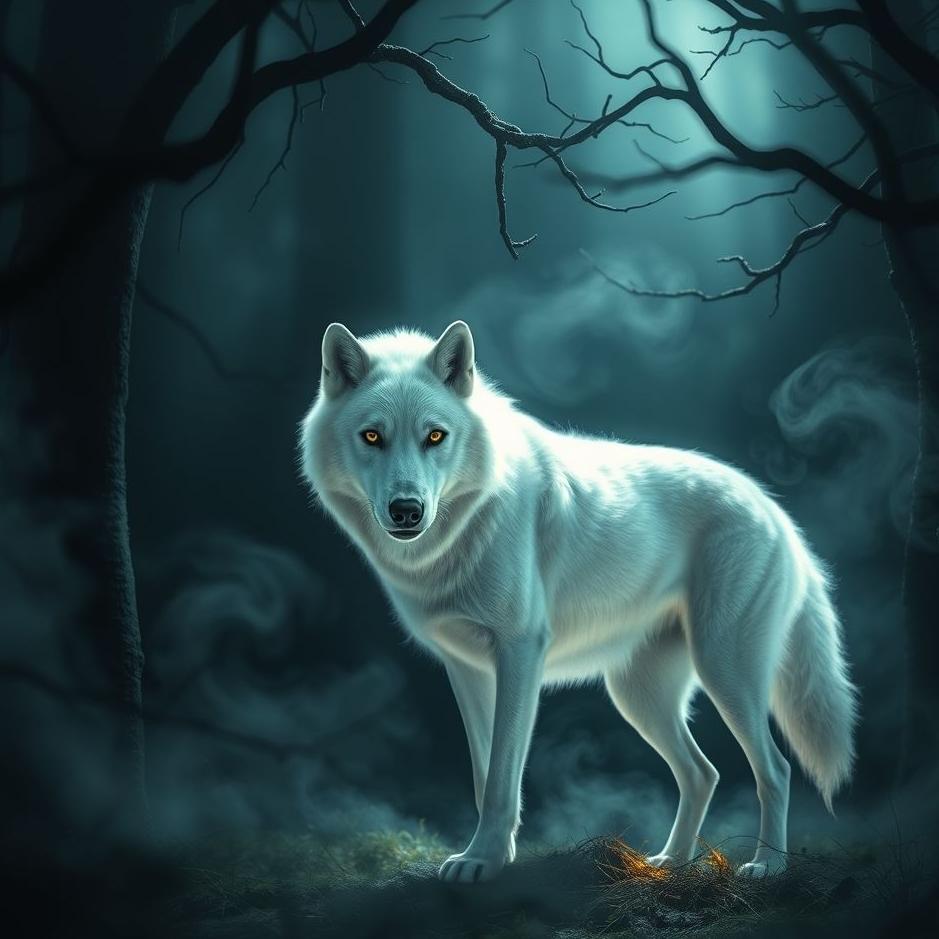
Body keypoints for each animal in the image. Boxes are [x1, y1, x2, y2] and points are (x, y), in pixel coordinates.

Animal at [299, 320, 858, 884]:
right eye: (372, 436)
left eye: (435, 435)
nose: (407, 510)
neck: (465, 530)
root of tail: (775, 511)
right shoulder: (467, 668)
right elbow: (483, 776)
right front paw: (488, 856)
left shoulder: (520, 653)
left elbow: (502, 778)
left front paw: (483, 860)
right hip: (638, 695)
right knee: (703, 773)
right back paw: (671, 863)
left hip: (724, 670)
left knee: (776, 769)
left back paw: (767, 865)